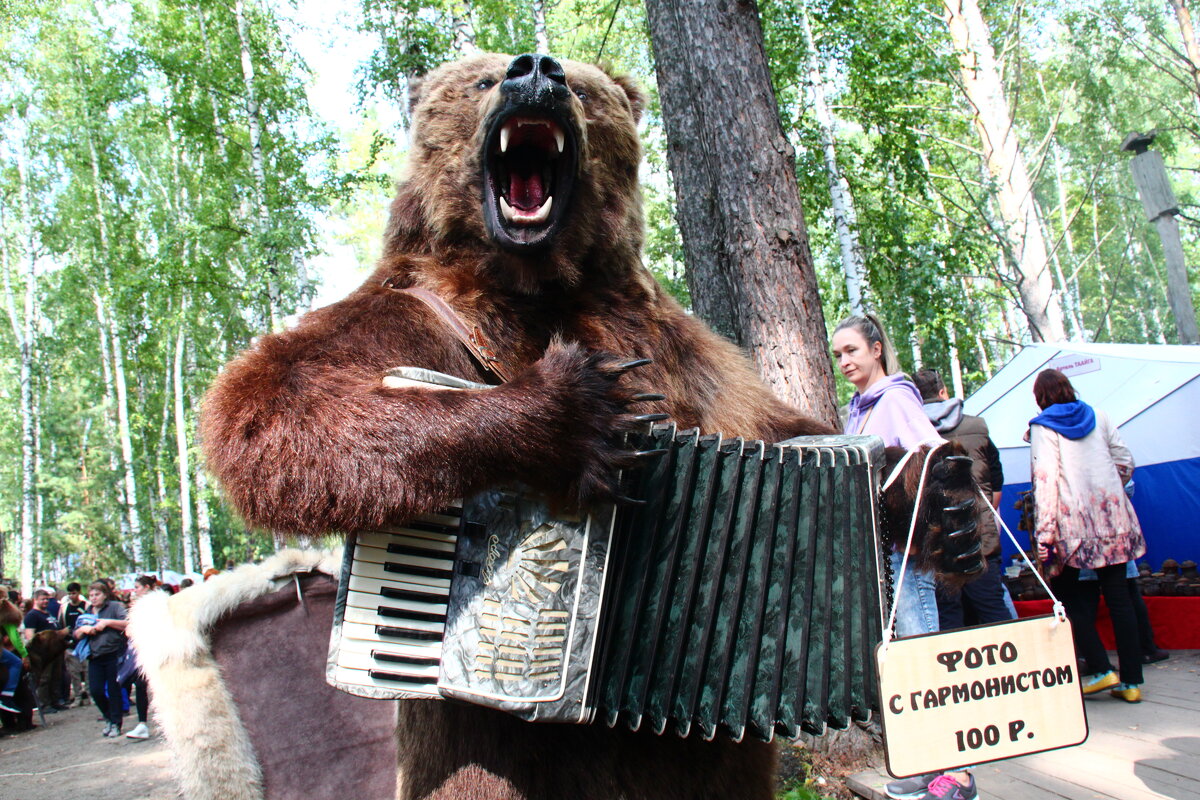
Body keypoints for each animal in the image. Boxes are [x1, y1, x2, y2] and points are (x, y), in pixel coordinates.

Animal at [199, 53, 984, 796]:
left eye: (578, 88)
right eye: (482, 79)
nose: (535, 68)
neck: (541, 283)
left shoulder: (683, 347)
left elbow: (784, 426)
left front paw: (940, 499)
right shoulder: (404, 311)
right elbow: (273, 406)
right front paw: (572, 412)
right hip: (487, 761)